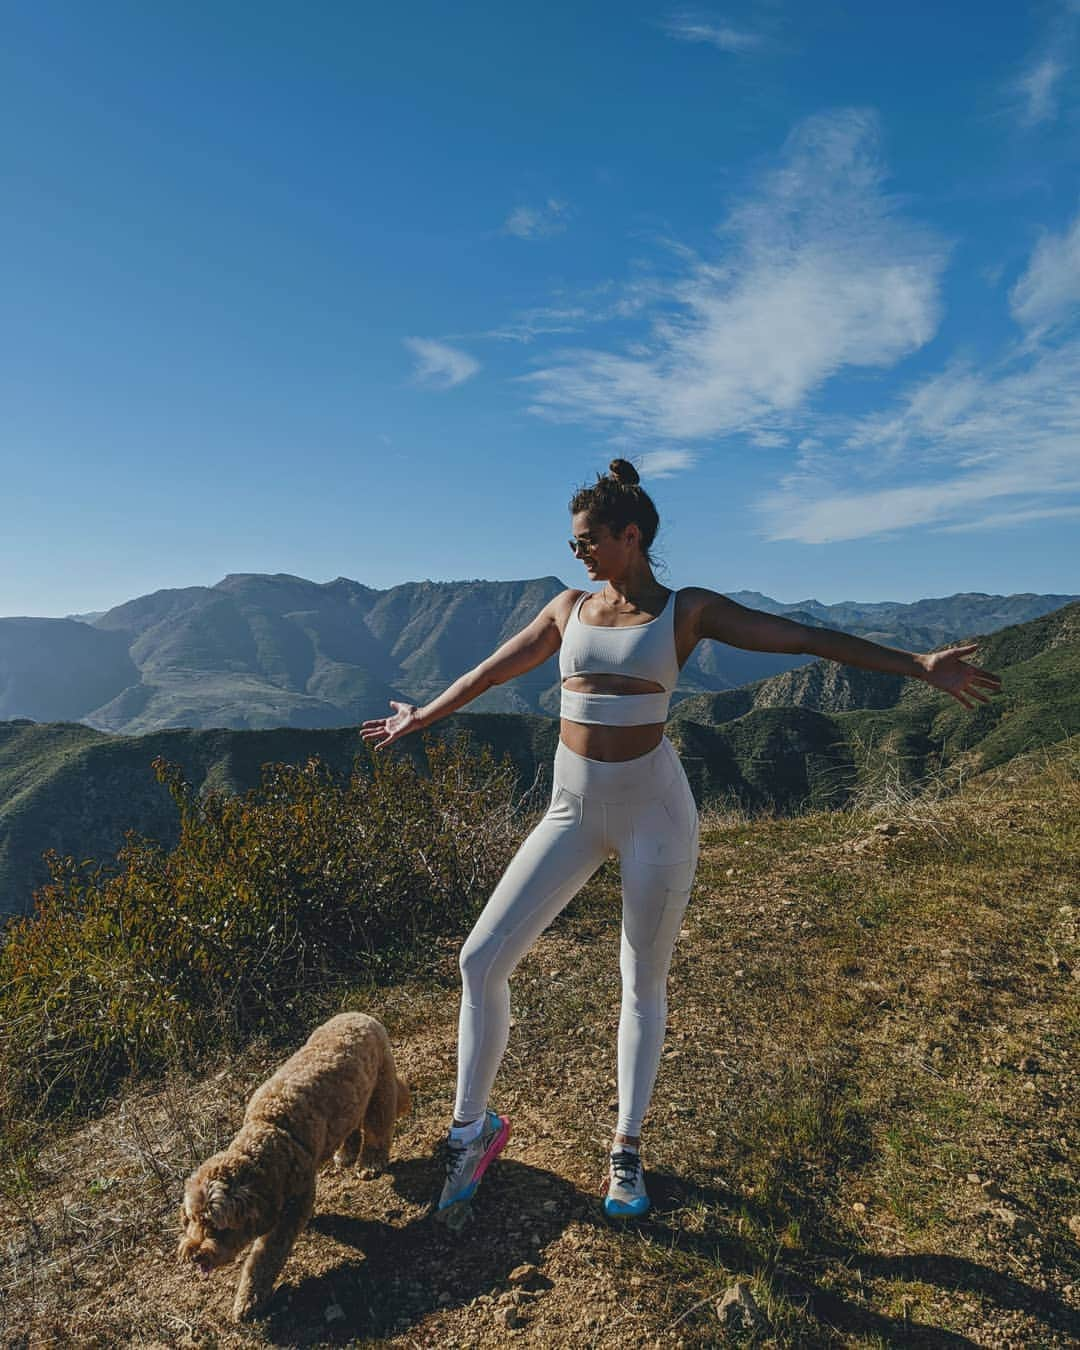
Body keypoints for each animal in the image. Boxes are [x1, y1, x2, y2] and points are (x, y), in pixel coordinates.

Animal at [179, 1015, 410, 1317]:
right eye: (193, 1220)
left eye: (217, 1227)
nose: (195, 1254)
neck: (270, 1130)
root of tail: (358, 1015)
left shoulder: (294, 1203)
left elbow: (264, 1258)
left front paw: (249, 1298)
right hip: (351, 1099)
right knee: (351, 1126)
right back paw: (346, 1153)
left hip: (380, 1084)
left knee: (378, 1124)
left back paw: (371, 1161)